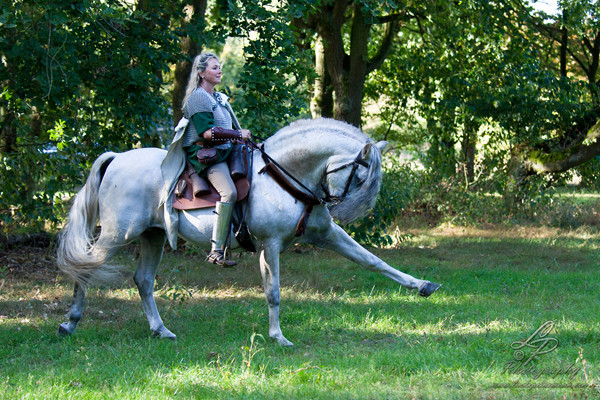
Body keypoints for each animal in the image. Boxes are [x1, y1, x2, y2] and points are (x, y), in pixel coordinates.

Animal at [57, 117, 440, 346]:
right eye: (360, 176)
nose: (341, 212)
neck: (284, 175)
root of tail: (117, 158)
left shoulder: (325, 235)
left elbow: (373, 261)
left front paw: (422, 285)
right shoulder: (269, 245)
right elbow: (274, 293)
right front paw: (278, 336)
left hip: (153, 236)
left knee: (143, 281)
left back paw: (160, 329)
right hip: (115, 235)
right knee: (85, 270)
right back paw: (69, 324)